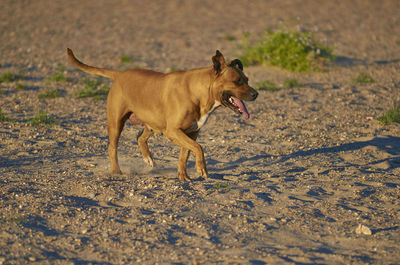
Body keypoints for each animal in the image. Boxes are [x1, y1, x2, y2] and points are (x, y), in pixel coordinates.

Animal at [67, 48, 258, 179]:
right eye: (237, 81)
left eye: (247, 80)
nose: (256, 94)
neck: (199, 92)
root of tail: (119, 74)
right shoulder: (174, 131)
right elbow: (198, 148)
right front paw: (201, 168)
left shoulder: (190, 133)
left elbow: (185, 154)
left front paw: (183, 176)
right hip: (116, 123)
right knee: (112, 148)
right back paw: (116, 171)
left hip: (152, 123)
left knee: (140, 137)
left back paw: (148, 159)